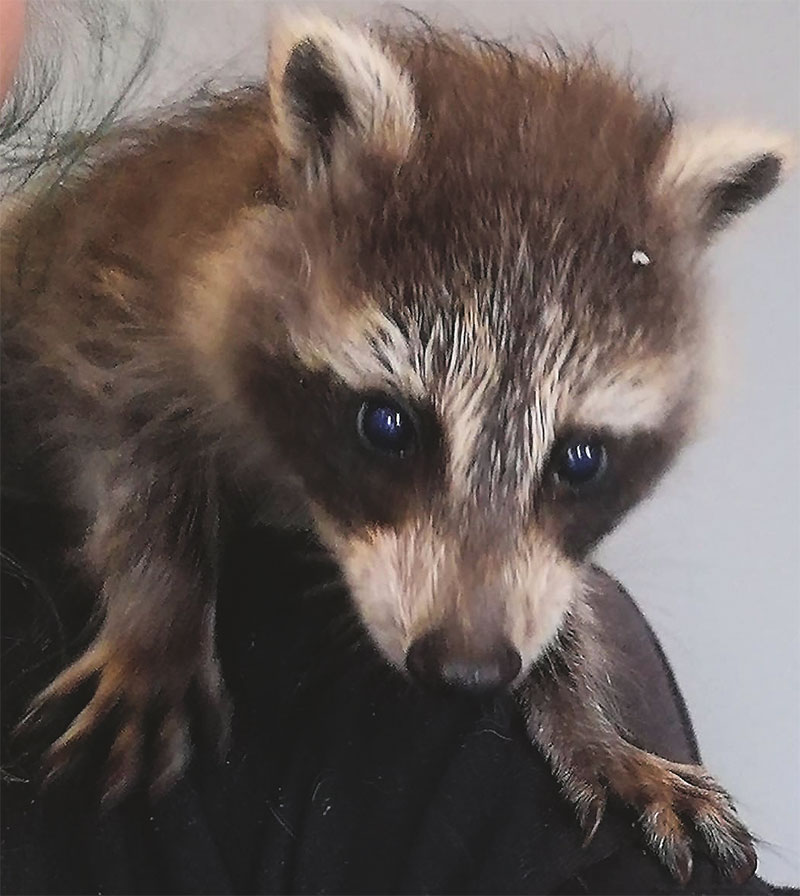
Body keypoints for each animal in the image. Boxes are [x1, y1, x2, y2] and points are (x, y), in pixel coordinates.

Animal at [1, 10, 792, 884]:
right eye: (389, 427)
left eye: (579, 461)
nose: (467, 669)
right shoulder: (123, 281)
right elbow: (122, 431)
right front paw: (160, 606)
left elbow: (551, 591)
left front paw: (581, 707)